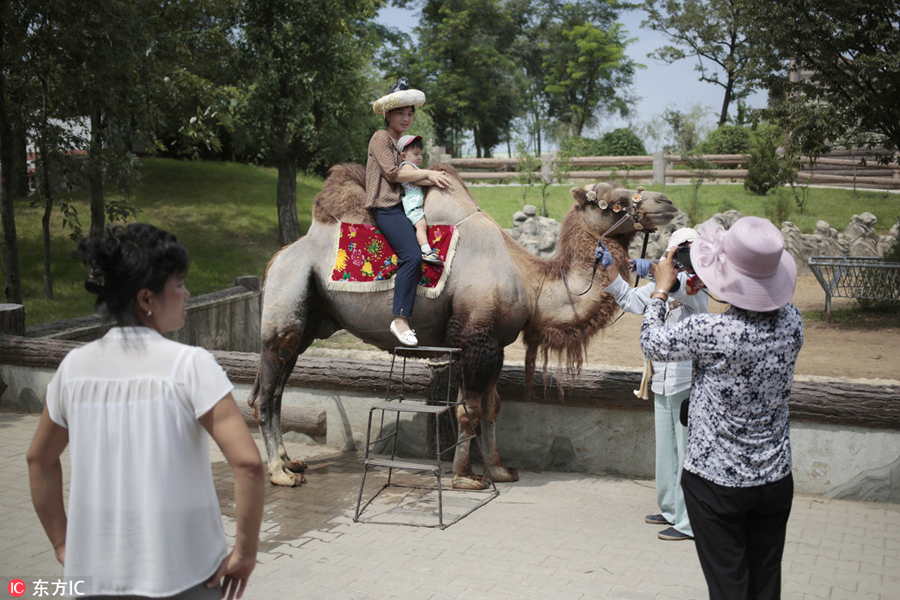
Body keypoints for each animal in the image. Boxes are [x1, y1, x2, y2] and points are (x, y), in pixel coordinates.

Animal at [246, 164, 676, 488]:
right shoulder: (474, 337)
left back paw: (292, 462)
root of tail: (275, 259)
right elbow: (468, 410)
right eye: (612, 201)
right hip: (286, 307)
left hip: (308, 322)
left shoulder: (495, 343)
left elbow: (492, 407)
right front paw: (466, 477)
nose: (667, 202)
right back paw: (280, 473)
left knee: (277, 391)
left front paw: (500, 469)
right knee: (265, 395)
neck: (531, 280)